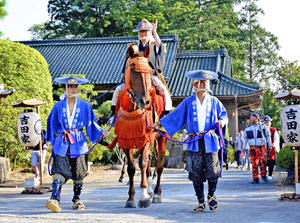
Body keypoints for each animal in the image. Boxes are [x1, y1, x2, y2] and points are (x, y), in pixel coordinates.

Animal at [114, 45, 168, 209]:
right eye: (133, 70)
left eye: (148, 71)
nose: (145, 101)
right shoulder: (126, 139)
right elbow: (132, 167)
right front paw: (131, 198)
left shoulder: (146, 137)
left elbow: (143, 163)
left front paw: (143, 196)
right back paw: (150, 190)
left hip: (161, 137)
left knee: (159, 165)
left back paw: (156, 194)